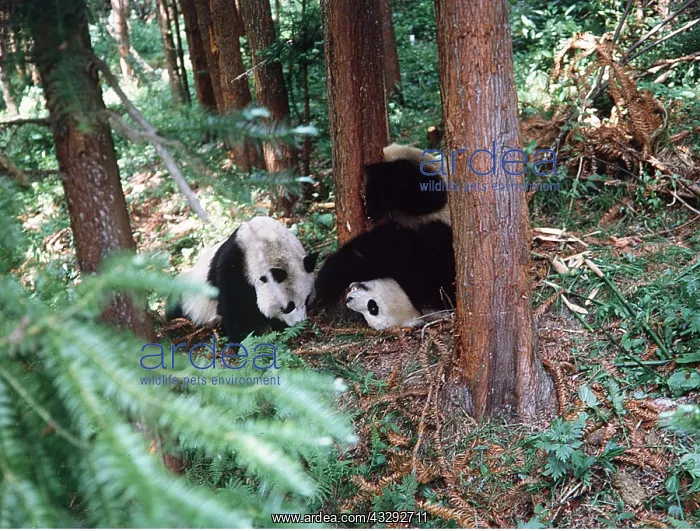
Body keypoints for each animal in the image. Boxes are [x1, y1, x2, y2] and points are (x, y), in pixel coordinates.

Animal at [167, 216, 318, 341]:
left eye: (306, 300)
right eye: (288, 307)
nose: (300, 323)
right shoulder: (233, 267)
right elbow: (234, 309)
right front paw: (241, 341)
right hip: (188, 294)